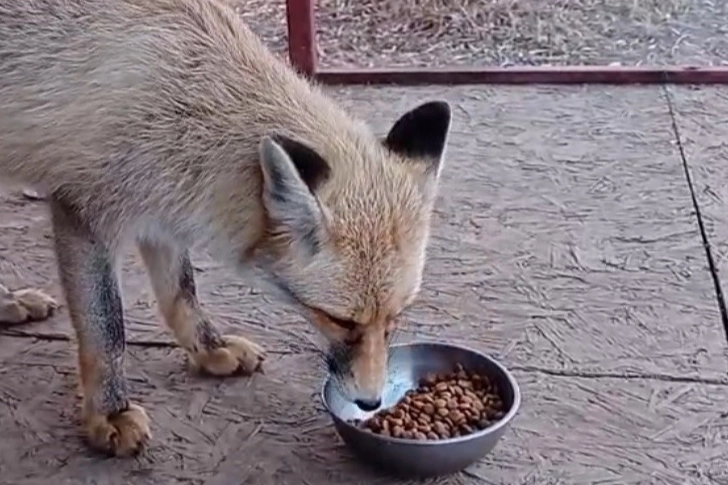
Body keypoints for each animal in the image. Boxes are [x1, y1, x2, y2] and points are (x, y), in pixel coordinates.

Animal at [0, 0, 452, 457]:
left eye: (396, 316)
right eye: (338, 320)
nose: (371, 401)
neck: (180, 99)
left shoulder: (162, 208)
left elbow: (181, 293)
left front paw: (209, 347)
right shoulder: (84, 211)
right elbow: (107, 327)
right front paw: (109, 413)